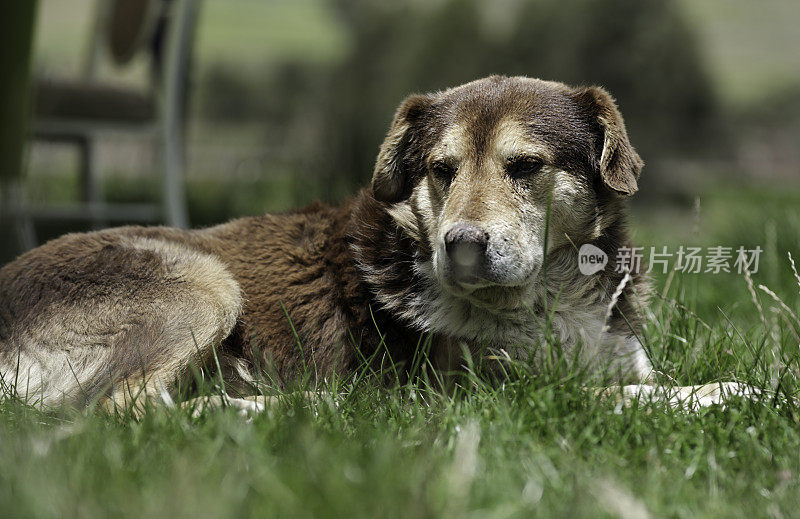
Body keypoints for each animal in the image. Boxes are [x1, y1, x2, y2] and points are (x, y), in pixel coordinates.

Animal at [1, 76, 668, 410]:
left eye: (526, 167)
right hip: (202, 283)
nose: (460, 247)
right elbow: (652, 395)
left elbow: (660, 382)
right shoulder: (504, 391)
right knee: (116, 409)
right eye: (441, 170)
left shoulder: (624, 357)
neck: (549, 298)